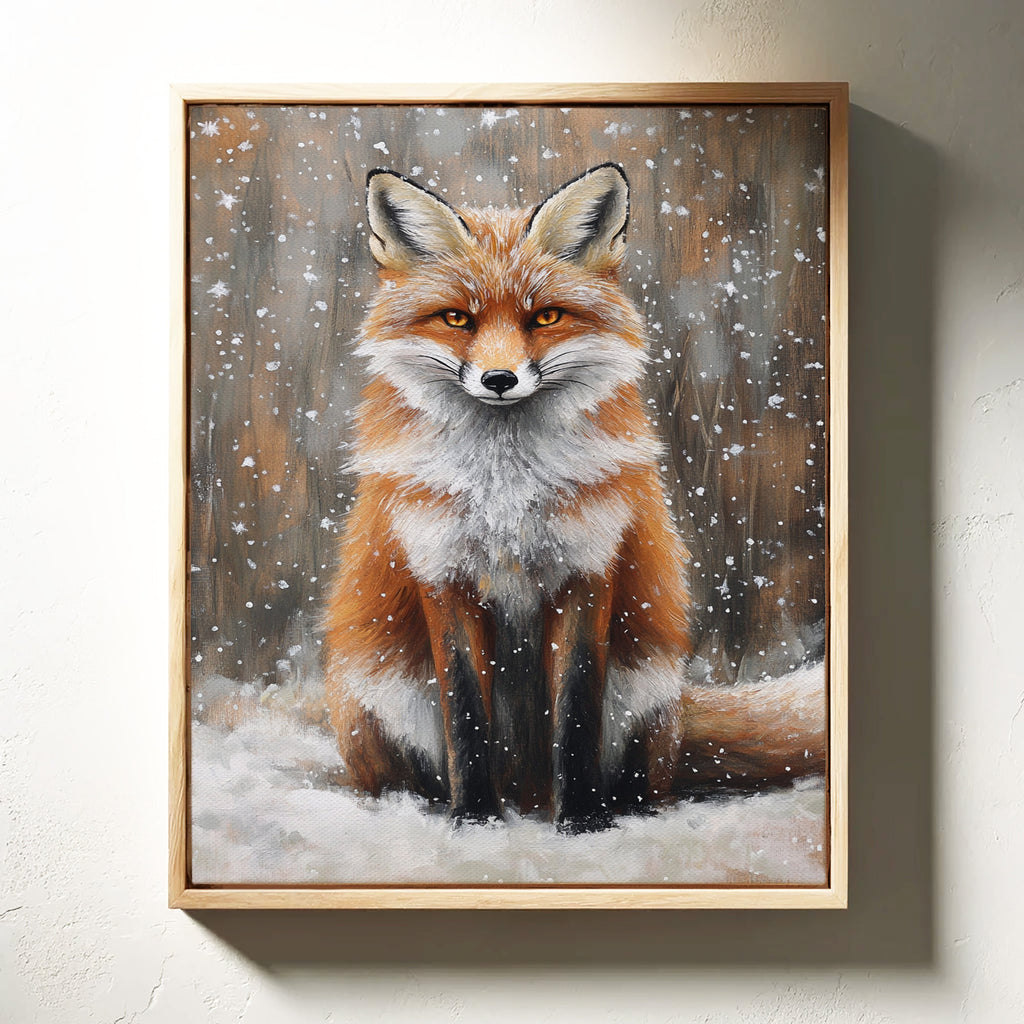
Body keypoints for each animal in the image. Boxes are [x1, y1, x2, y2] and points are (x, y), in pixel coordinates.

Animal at [324, 164, 824, 833]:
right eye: (457, 319)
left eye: (545, 318)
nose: (500, 380)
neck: (505, 489)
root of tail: (527, 793)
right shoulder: (442, 572)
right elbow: (466, 716)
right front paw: (474, 819)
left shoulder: (589, 567)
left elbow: (576, 712)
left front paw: (583, 821)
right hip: (376, 695)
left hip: (646, 691)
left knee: (647, 779)